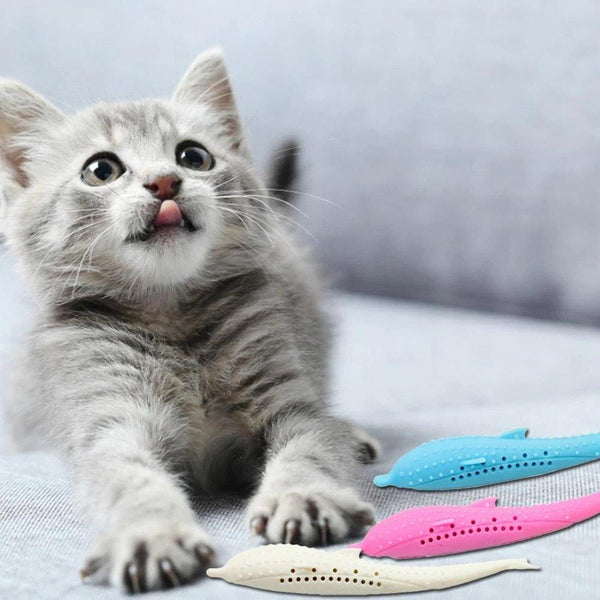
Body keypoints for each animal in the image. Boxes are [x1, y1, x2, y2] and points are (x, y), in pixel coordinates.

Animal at [0, 49, 376, 592]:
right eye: (101, 169)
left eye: (193, 157)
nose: (164, 181)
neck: (172, 317)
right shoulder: (109, 421)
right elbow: (129, 478)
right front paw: (151, 533)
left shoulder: (289, 400)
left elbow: (311, 447)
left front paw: (303, 495)